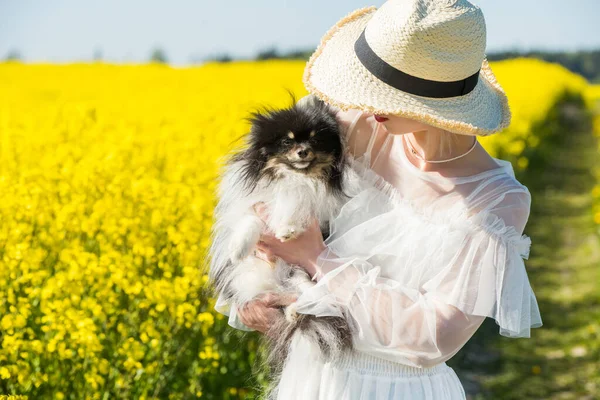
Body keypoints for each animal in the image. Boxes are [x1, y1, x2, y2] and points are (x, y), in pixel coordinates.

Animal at [207, 93, 356, 394]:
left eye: (314, 140)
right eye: (288, 142)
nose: (303, 152)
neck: (293, 177)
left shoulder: (314, 211)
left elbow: (297, 206)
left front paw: (287, 228)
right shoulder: (255, 204)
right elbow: (250, 221)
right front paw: (239, 247)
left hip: (300, 272)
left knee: (307, 291)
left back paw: (298, 309)